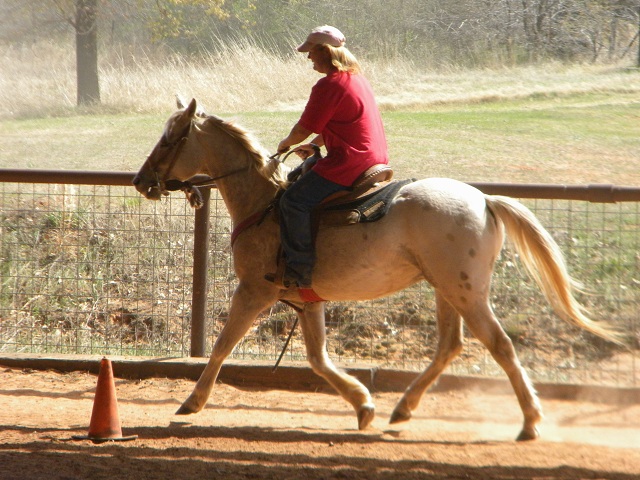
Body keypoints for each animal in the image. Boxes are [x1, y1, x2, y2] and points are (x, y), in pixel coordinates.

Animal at [134, 99, 620, 440]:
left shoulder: (254, 292)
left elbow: (221, 346)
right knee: (450, 346)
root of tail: (484, 199)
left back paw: (531, 421)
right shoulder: (307, 300)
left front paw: (192, 402)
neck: (263, 203)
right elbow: (318, 358)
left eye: (169, 138)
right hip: (448, 290)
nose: (141, 182)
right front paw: (362, 404)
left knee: (499, 346)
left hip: (466, 293)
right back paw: (402, 407)